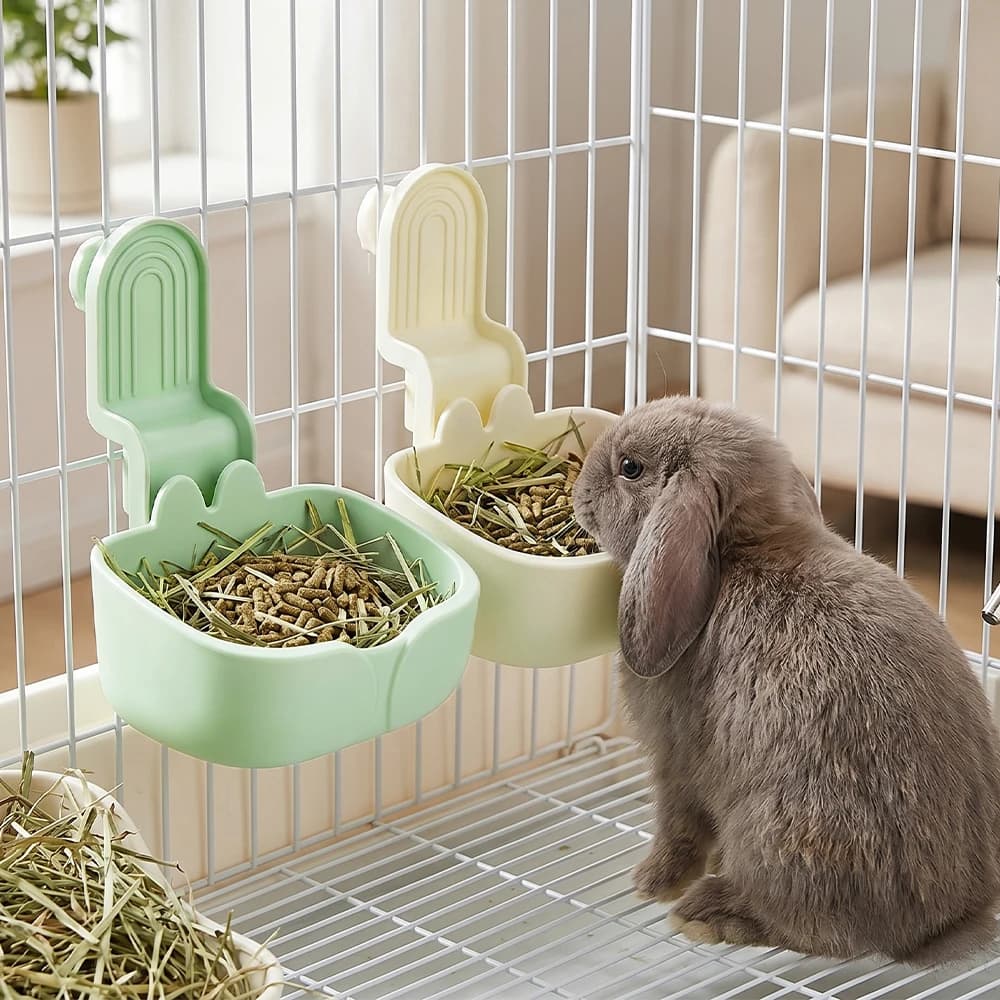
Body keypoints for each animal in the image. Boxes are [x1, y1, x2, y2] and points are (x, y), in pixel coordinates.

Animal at [572, 394, 1000, 965]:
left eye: (630, 468)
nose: (580, 495)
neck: (736, 553)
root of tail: (939, 924)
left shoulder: (676, 760)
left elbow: (678, 826)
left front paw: (650, 883)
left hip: (774, 831)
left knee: (810, 928)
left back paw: (708, 913)